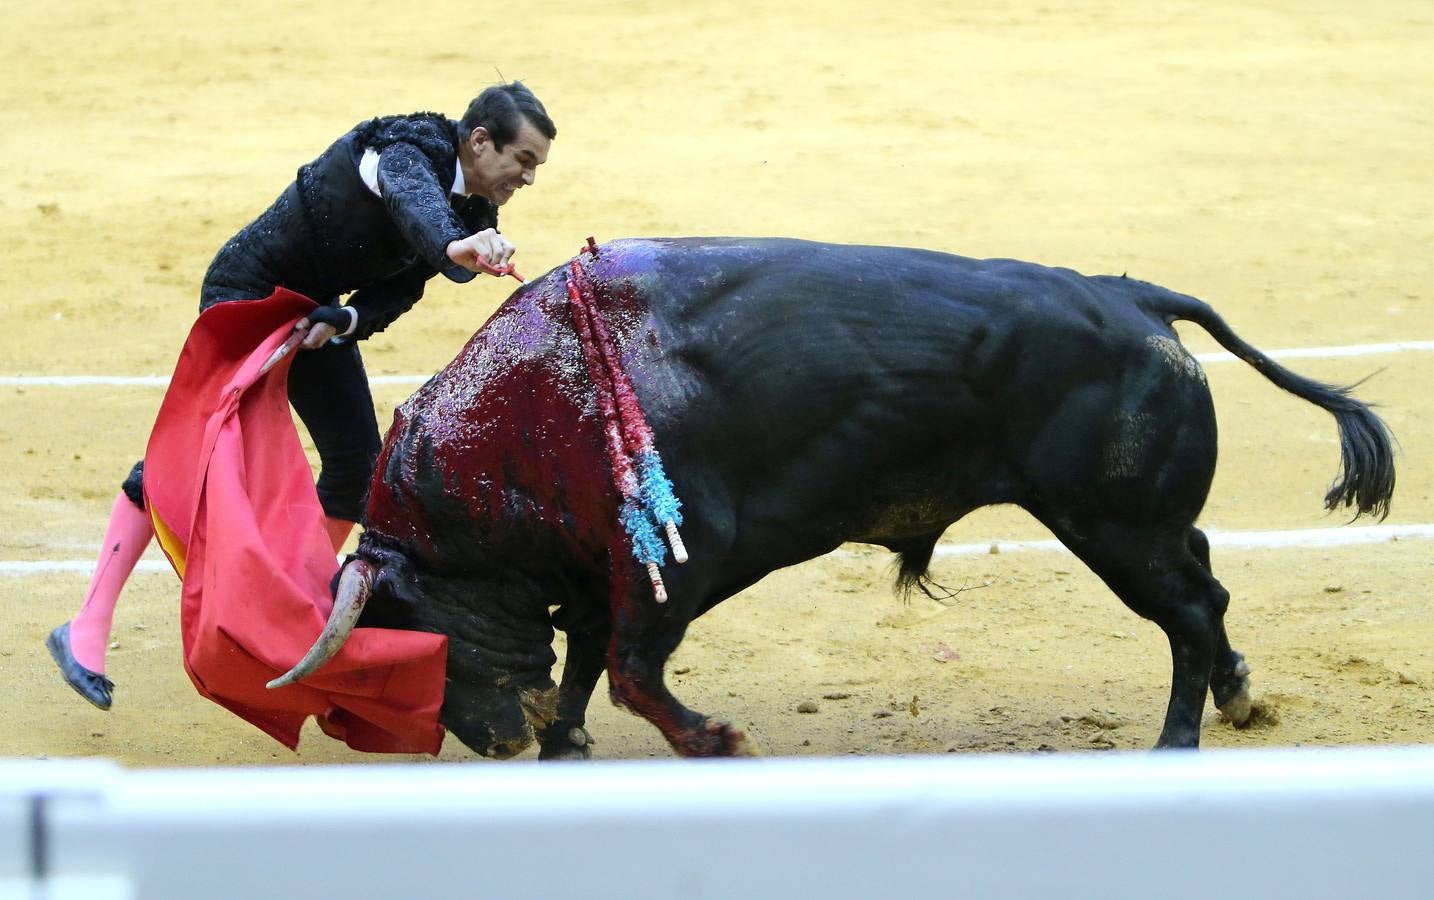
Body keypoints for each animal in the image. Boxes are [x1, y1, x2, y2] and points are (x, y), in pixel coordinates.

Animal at [266, 239, 1388, 756]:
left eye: (416, 630)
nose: (491, 741)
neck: (529, 410)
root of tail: (1135, 295)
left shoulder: (672, 564)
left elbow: (630, 670)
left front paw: (717, 741)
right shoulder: (599, 570)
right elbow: (588, 661)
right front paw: (564, 744)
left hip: (1115, 528)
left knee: (1189, 615)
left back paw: (1176, 742)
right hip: (1144, 524)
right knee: (1210, 587)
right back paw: (1239, 697)